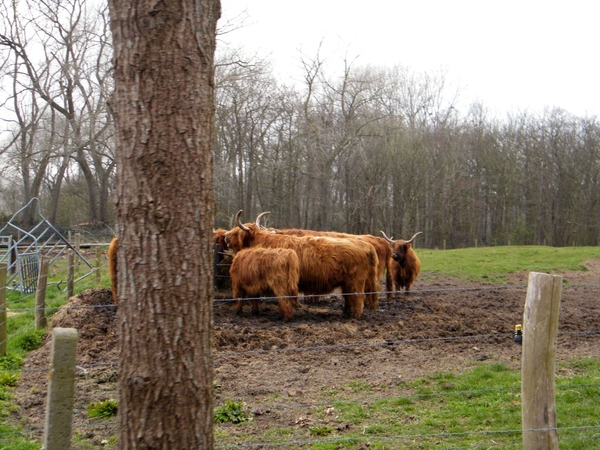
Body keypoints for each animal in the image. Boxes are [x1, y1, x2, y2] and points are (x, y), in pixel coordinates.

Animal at [224, 212, 376, 320]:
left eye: (236, 230)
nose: (225, 235)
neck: (262, 242)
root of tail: (366, 245)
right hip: (346, 283)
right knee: (348, 297)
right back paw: (345, 313)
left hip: (356, 281)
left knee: (358, 297)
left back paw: (355, 317)